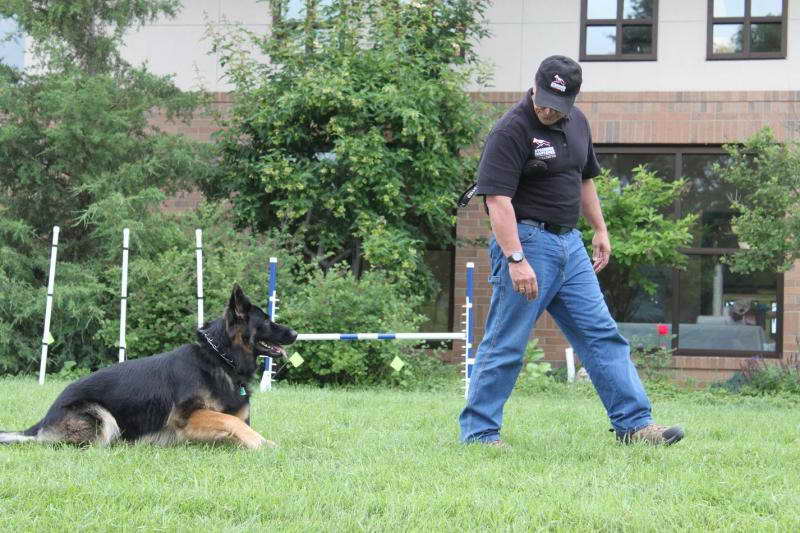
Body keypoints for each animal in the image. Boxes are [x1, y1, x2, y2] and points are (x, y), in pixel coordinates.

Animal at [0, 284, 296, 446]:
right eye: (267, 321)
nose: (295, 334)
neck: (221, 359)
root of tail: (43, 420)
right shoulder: (187, 417)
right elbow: (231, 421)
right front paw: (259, 443)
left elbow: (241, 424)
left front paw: (262, 441)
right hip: (101, 417)